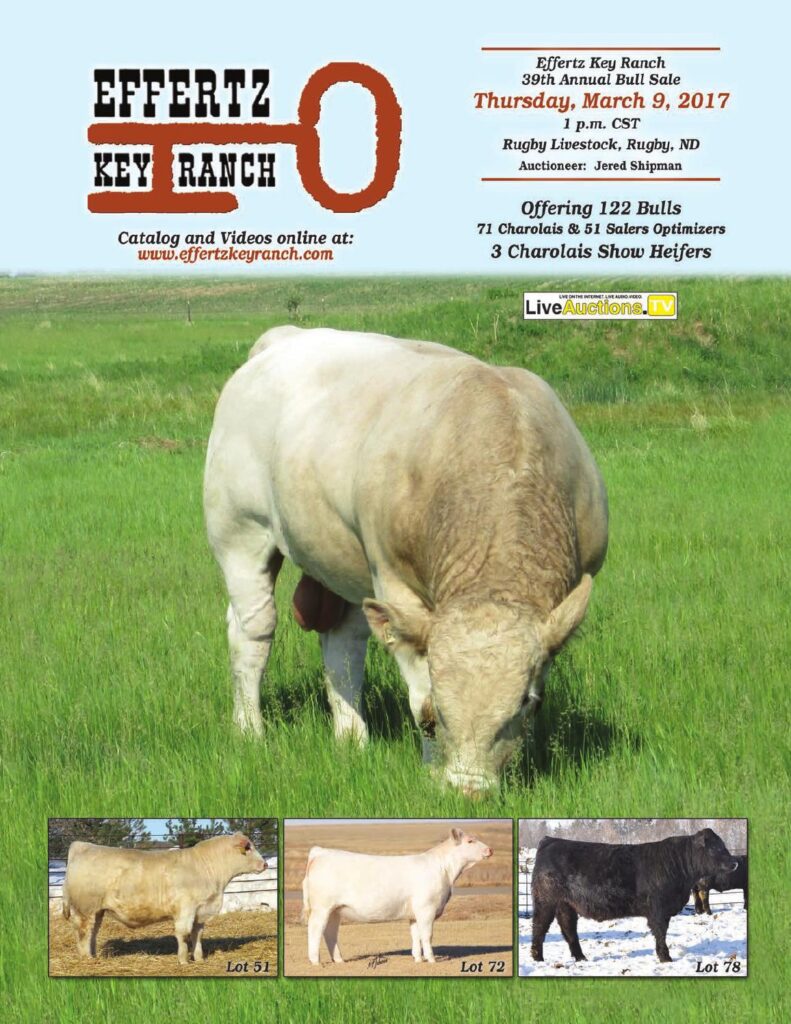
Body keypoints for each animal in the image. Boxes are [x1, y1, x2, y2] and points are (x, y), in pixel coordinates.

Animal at [62, 833, 266, 963]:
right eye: (248, 848)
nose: (264, 864)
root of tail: (83, 846)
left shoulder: (200, 912)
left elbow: (197, 935)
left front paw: (199, 959)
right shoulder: (186, 909)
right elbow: (183, 934)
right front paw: (183, 961)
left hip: (98, 911)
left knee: (93, 932)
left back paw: (94, 955)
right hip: (85, 909)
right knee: (82, 932)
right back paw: (86, 958)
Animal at [204, 326, 608, 792]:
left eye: (529, 702)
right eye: (444, 708)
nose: (469, 790)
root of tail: (283, 337)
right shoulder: (393, 580)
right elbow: (421, 702)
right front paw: (433, 772)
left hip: (339, 560)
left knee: (343, 643)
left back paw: (352, 738)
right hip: (239, 532)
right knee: (252, 631)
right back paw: (250, 730)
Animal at [300, 827, 493, 964]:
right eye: (470, 840)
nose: (490, 849)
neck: (445, 870)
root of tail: (321, 852)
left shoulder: (414, 913)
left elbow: (415, 935)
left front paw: (418, 959)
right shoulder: (426, 908)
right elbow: (427, 935)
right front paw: (431, 960)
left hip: (335, 909)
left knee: (330, 932)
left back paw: (339, 960)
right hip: (321, 908)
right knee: (315, 929)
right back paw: (316, 962)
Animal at [530, 828, 739, 963]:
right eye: (715, 848)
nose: (734, 863)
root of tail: (550, 840)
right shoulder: (658, 910)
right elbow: (660, 933)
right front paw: (665, 958)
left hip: (566, 904)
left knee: (568, 929)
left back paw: (581, 958)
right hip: (545, 901)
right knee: (539, 927)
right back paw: (538, 957)